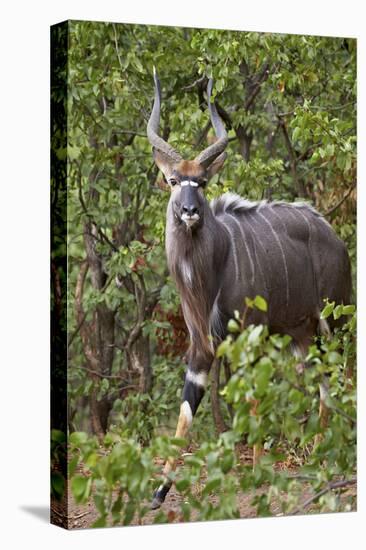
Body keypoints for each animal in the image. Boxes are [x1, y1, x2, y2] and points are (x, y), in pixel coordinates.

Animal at [147, 70, 352, 512]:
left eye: (202, 181)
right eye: (173, 180)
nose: (189, 211)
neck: (211, 271)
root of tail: (334, 236)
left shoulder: (248, 335)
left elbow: (253, 400)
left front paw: (256, 471)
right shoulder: (202, 346)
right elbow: (186, 410)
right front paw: (157, 492)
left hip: (333, 320)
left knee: (338, 374)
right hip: (301, 334)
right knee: (320, 380)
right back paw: (316, 449)